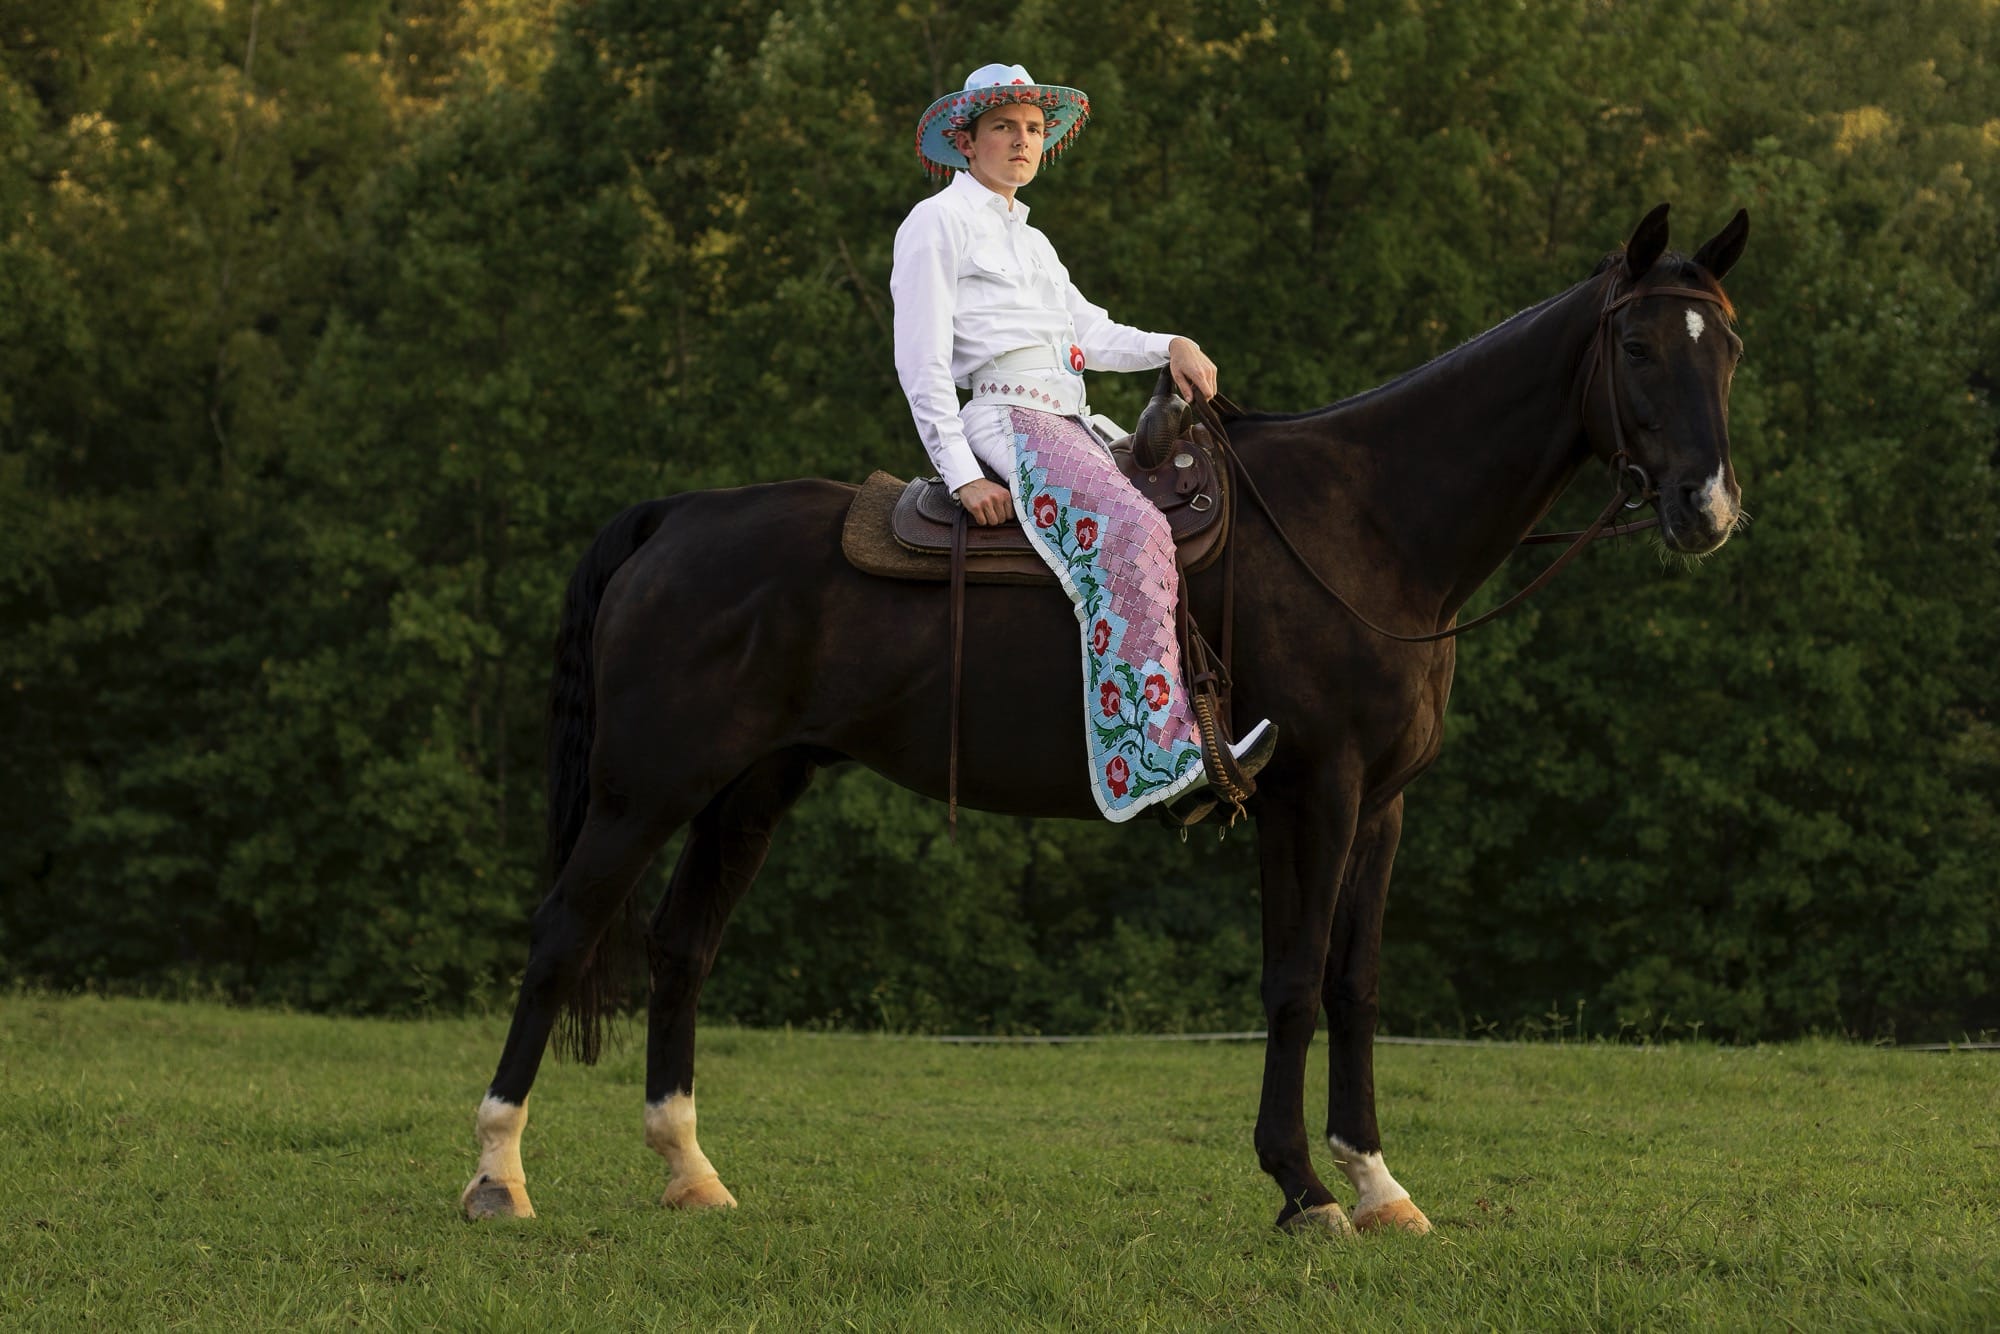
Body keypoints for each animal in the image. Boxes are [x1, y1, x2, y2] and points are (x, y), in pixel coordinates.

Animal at [459, 202, 1749, 1234]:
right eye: (1635, 343)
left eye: (1727, 344)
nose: (1706, 505)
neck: (1364, 526)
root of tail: (675, 516)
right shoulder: (1313, 791)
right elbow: (1291, 979)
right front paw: (1302, 1188)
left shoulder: (1381, 803)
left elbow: (1353, 985)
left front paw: (1376, 1181)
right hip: (645, 786)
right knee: (563, 931)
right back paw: (497, 1174)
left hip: (750, 786)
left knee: (682, 947)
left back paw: (688, 1172)